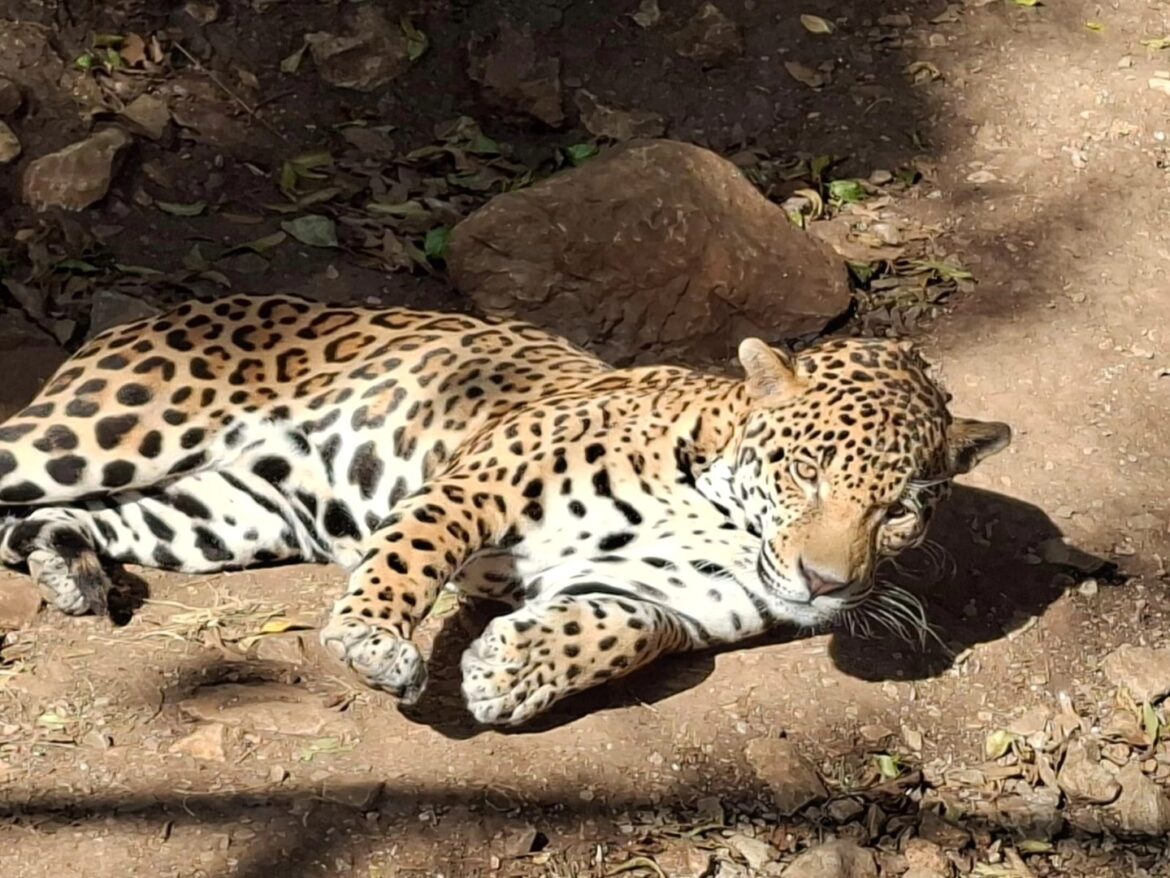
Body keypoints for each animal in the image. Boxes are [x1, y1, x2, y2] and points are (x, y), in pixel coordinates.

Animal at [0, 293, 1010, 725]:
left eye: (900, 510)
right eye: (806, 471)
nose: (825, 583)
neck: (720, 514)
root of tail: (153, 311)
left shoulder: (673, 608)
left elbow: (619, 631)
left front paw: (509, 671)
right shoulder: (478, 481)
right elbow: (406, 558)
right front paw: (373, 644)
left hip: (225, 515)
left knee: (74, 521)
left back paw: (67, 567)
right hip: (102, 433)